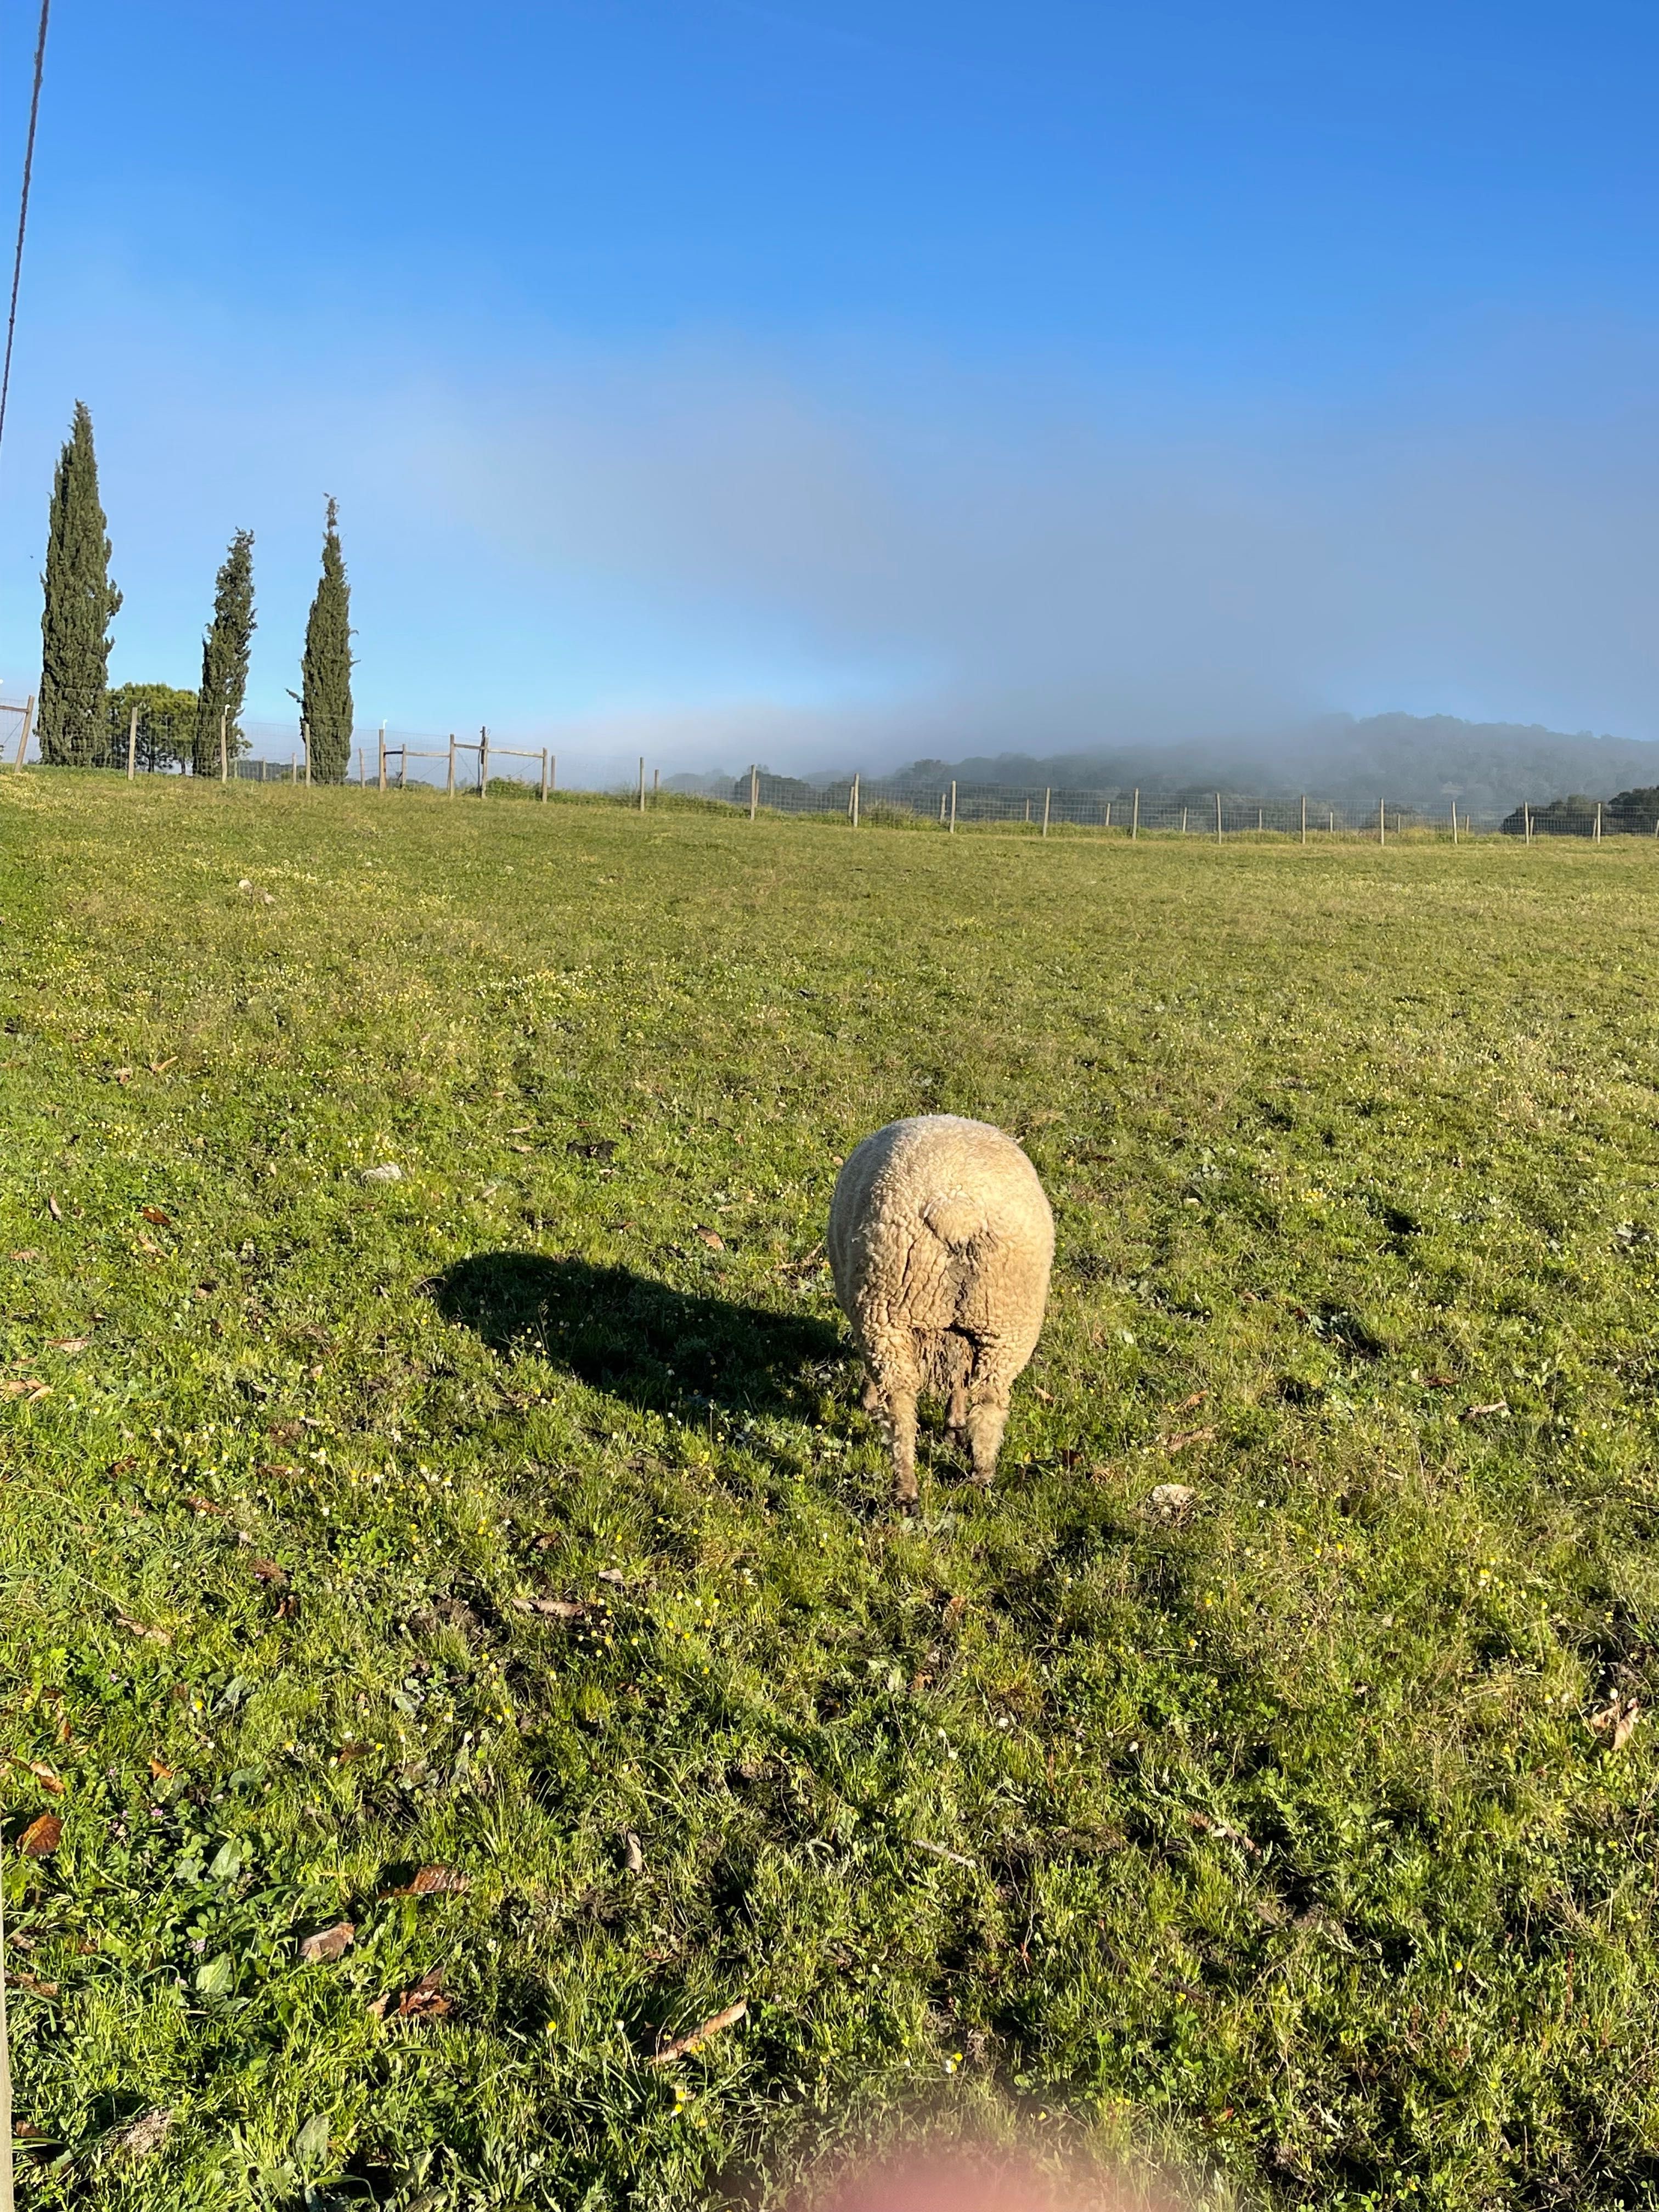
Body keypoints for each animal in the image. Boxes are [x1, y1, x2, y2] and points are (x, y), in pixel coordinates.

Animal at [827, 1115, 1053, 1513]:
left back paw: (906, 1490)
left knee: (900, 1403)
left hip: (885, 1313)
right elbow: (960, 1379)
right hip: (1005, 1323)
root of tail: (956, 1213)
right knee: (990, 1398)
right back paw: (982, 1474)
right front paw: (955, 1427)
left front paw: (867, 1400)